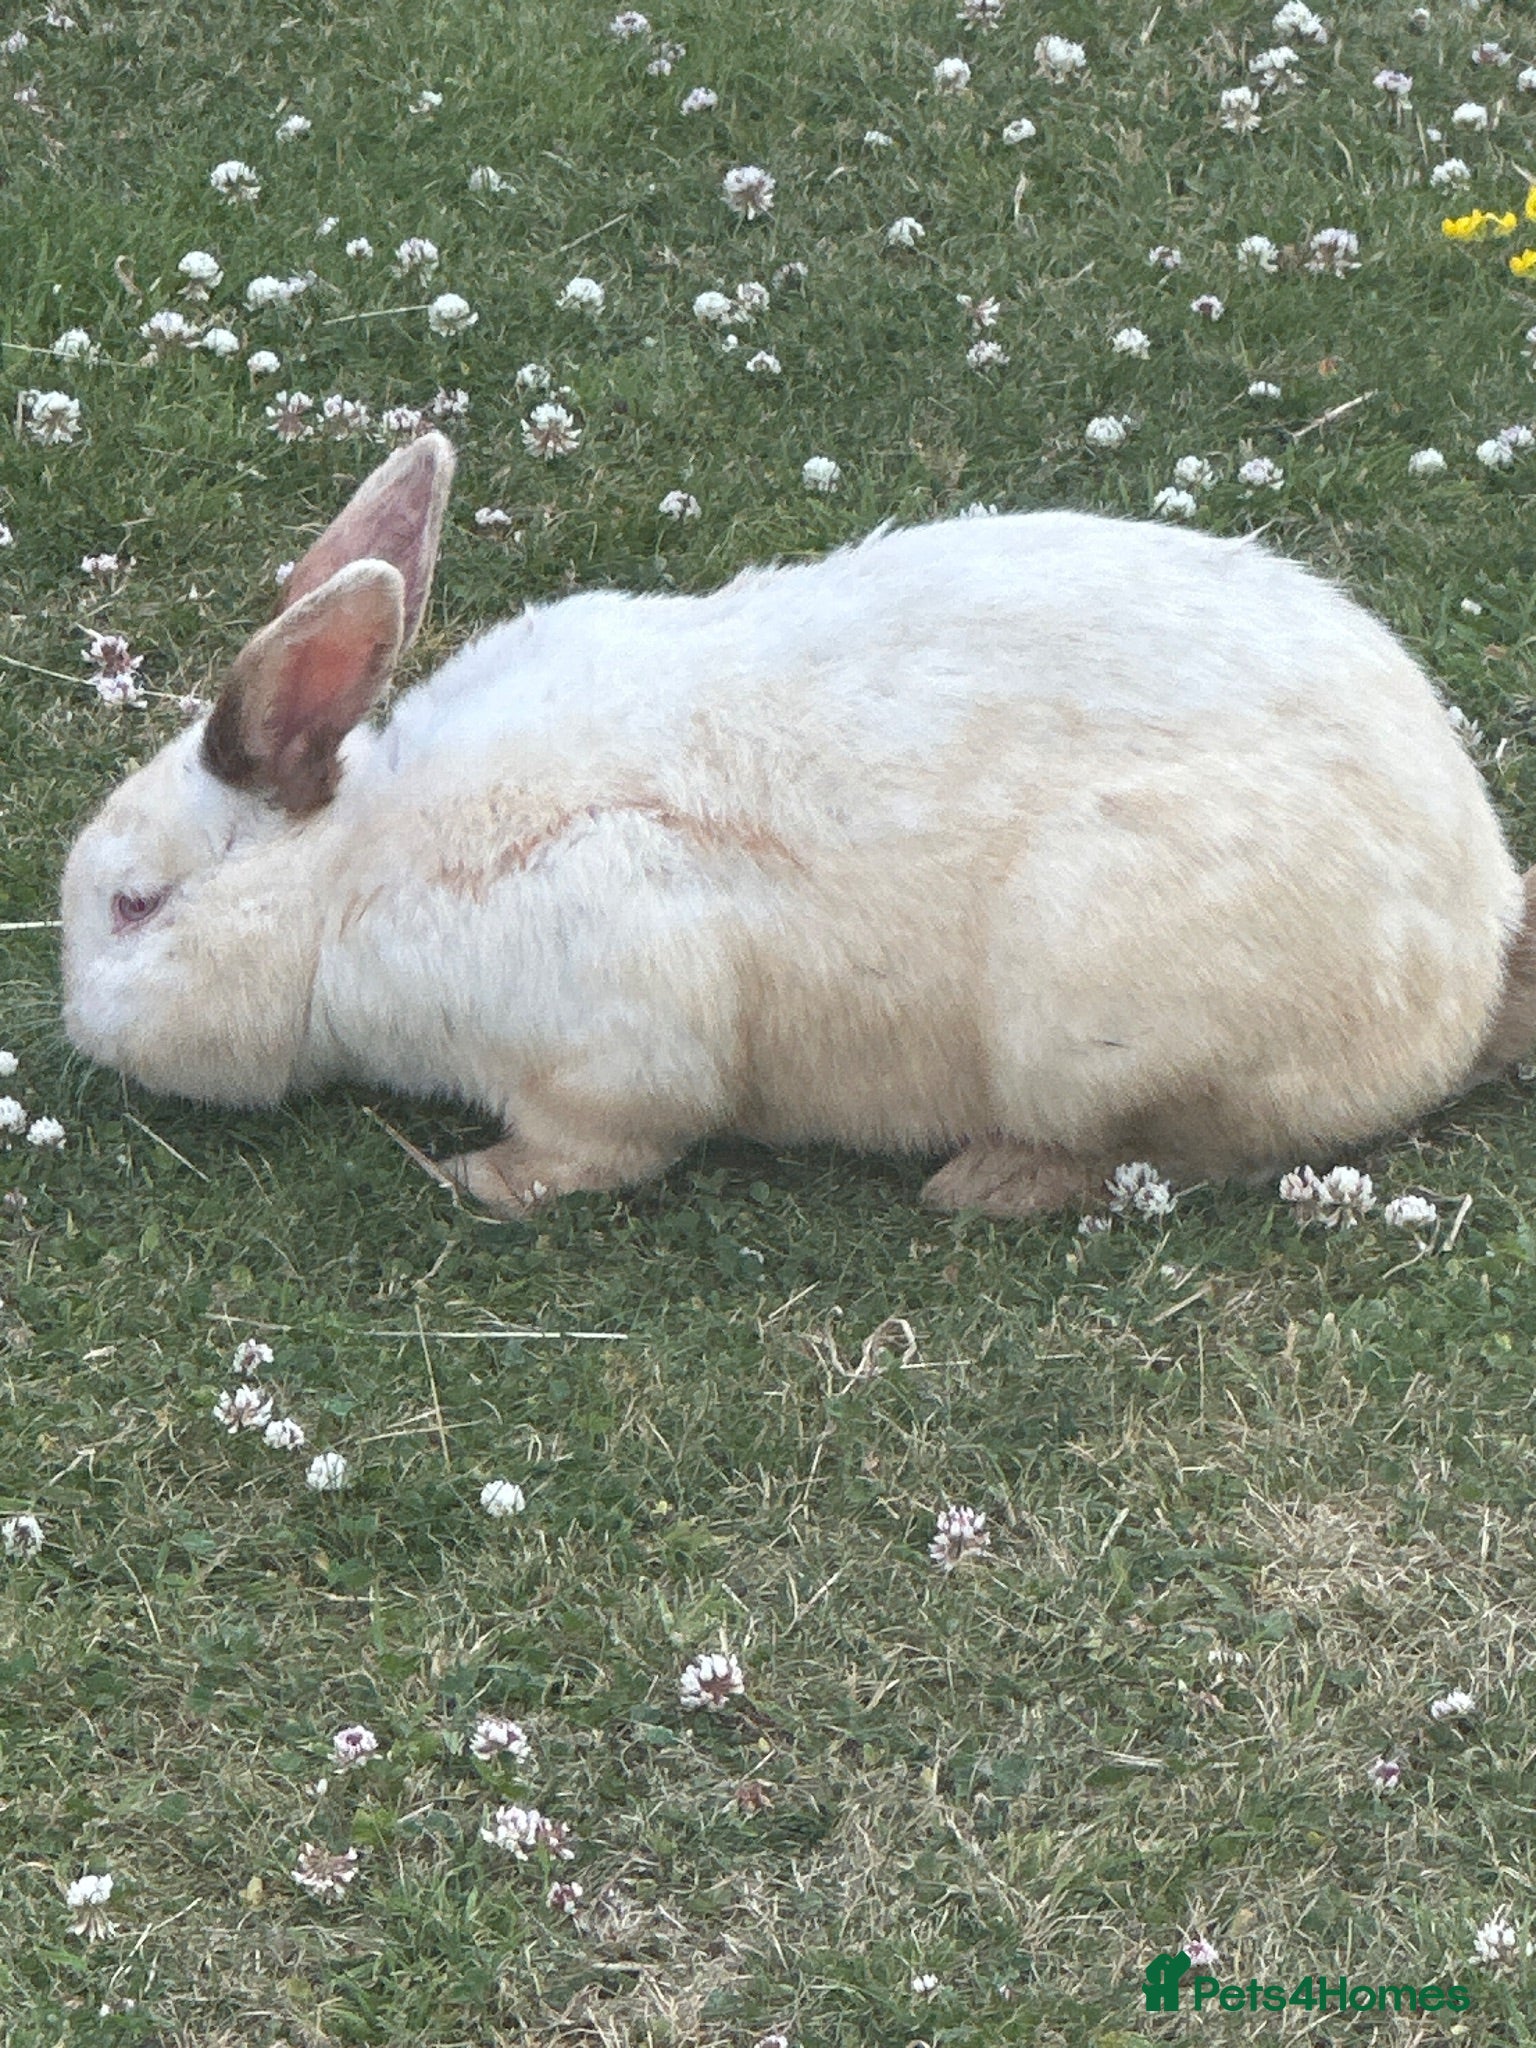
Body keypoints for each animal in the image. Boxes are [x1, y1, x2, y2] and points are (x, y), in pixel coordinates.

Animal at [60, 431, 1536, 1219]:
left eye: (136, 906)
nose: (77, 1023)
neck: (352, 875)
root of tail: (1473, 951)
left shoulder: (615, 1042)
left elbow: (597, 1146)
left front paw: (475, 1174)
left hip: (1103, 1012)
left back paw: (988, 1181)